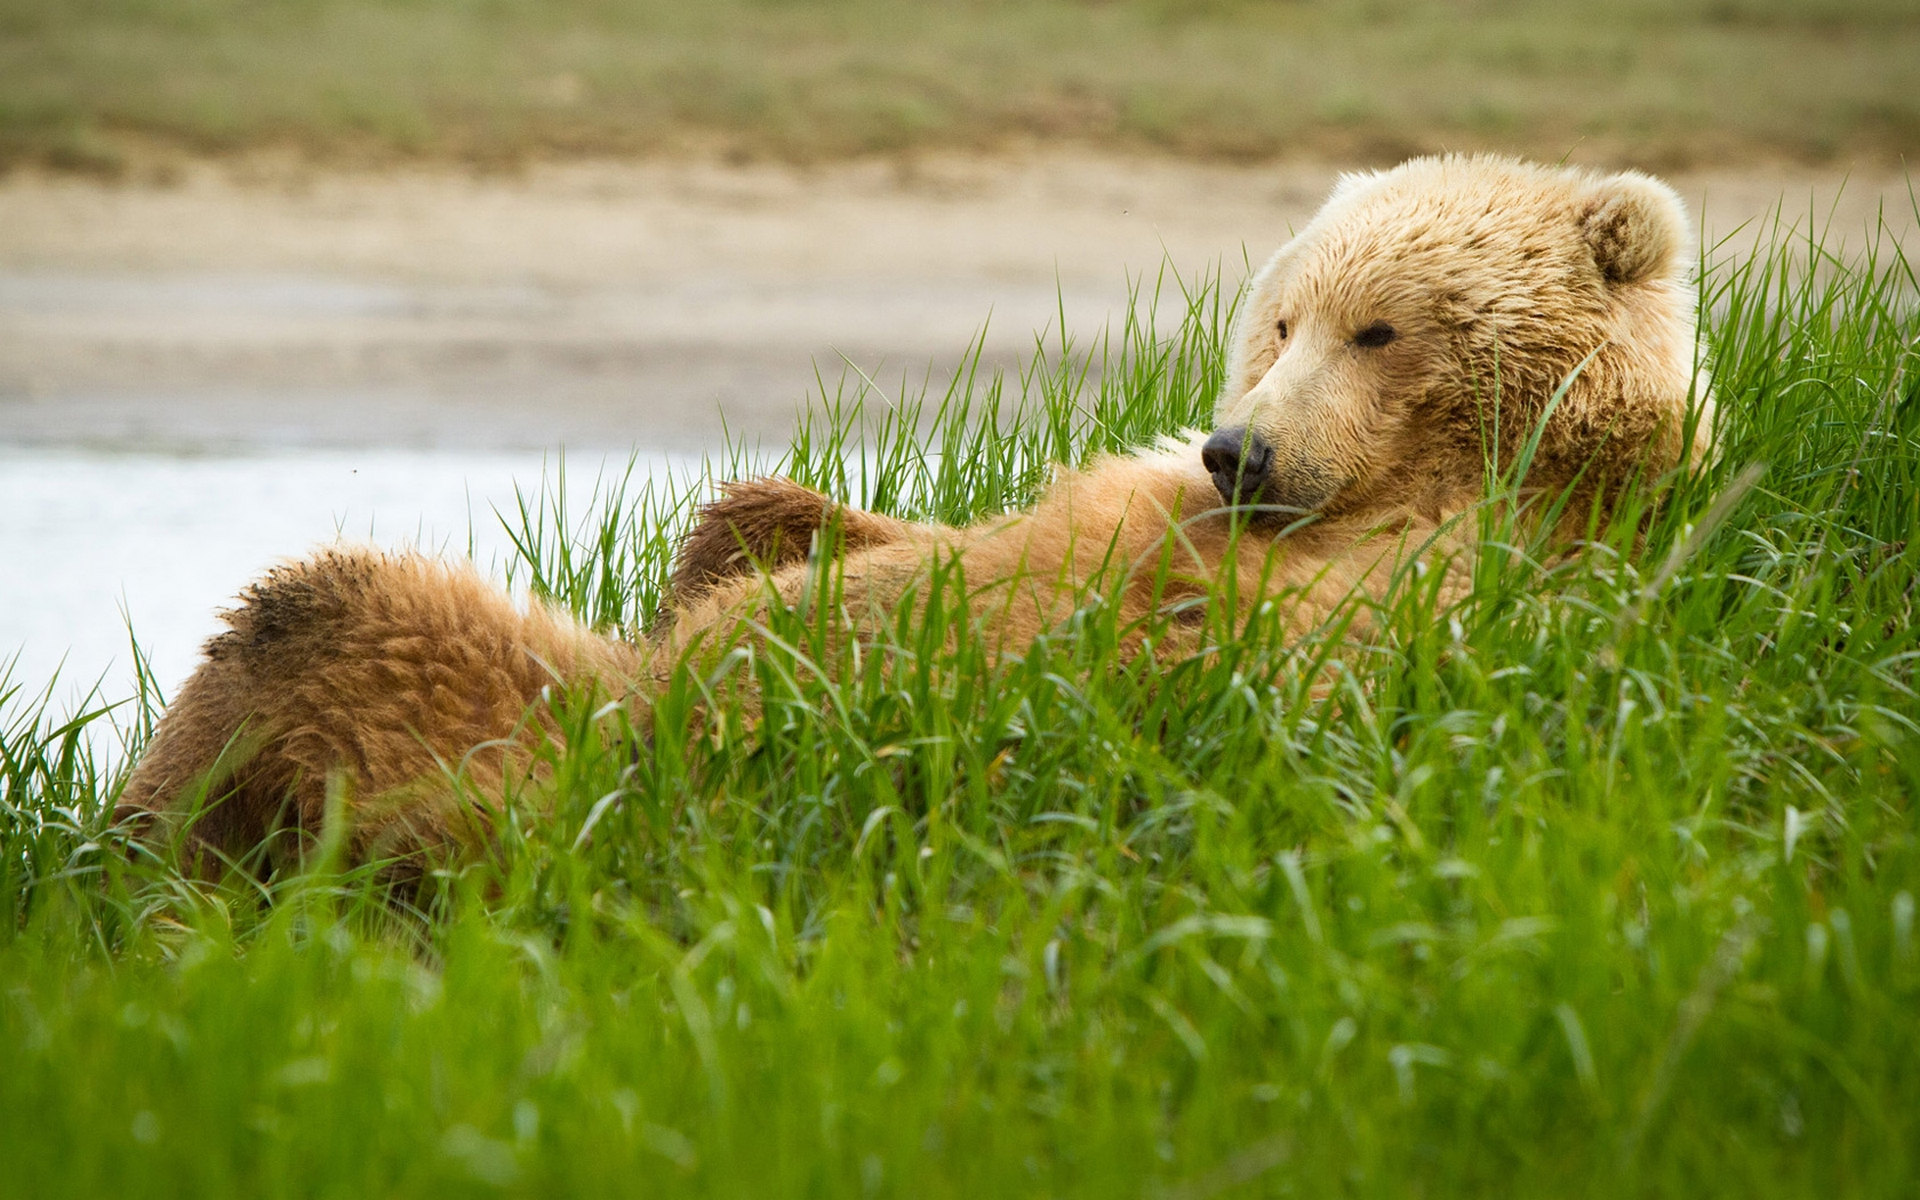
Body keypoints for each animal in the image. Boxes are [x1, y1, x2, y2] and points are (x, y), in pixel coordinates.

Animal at [120, 154, 1712, 875]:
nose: (1239, 450)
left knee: (324, 613)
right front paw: (764, 544)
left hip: (520, 764)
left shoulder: (1421, 590)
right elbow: (871, 536)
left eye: (1380, 329)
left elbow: (1100, 654)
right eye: (1281, 316)